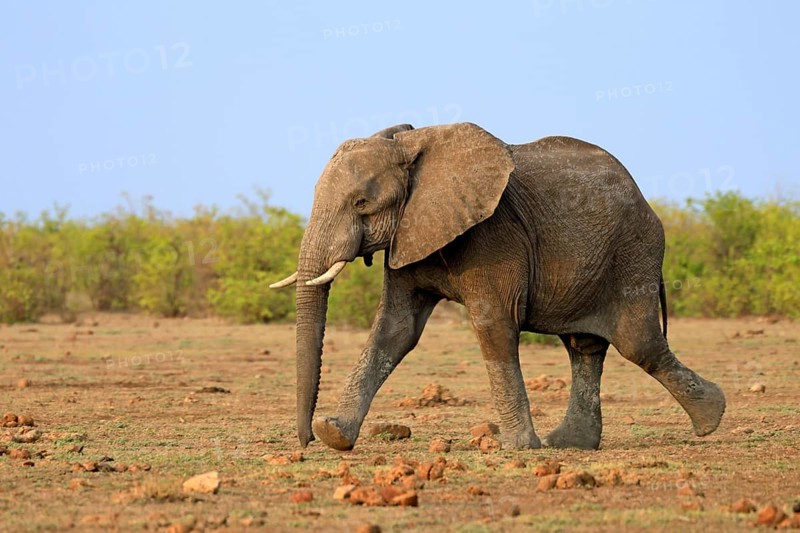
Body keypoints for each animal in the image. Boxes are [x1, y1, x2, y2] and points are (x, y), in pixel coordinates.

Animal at [271, 122, 726, 451]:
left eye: (361, 203)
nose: (304, 441)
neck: (411, 145)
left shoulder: (492, 236)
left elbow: (493, 323)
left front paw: (519, 448)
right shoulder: (409, 233)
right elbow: (394, 330)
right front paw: (335, 435)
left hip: (634, 251)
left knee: (638, 342)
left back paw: (711, 419)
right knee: (585, 347)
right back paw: (570, 444)